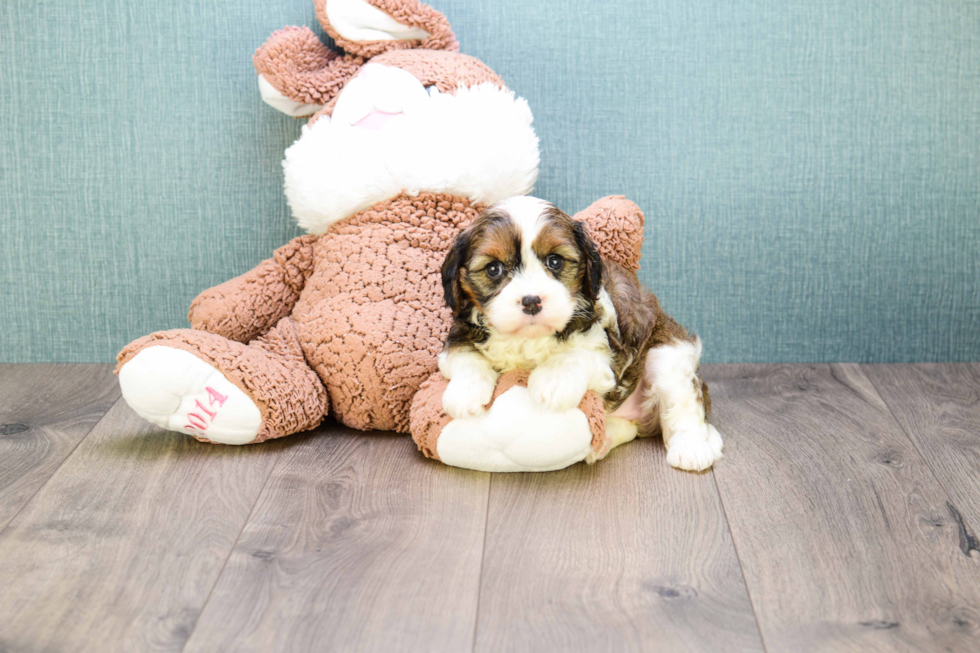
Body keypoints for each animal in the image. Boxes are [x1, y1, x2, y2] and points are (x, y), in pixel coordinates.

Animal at [440, 194, 724, 468]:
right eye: (494, 269)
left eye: (554, 261)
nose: (531, 301)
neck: (529, 339)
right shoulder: (457, 336)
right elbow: (465, 355)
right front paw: (465, 393)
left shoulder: (607, 355)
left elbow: (574, 356)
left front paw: (551, 382)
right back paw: (604, 440)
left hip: (668, 354)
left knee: (684, 401)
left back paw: (692, 449)